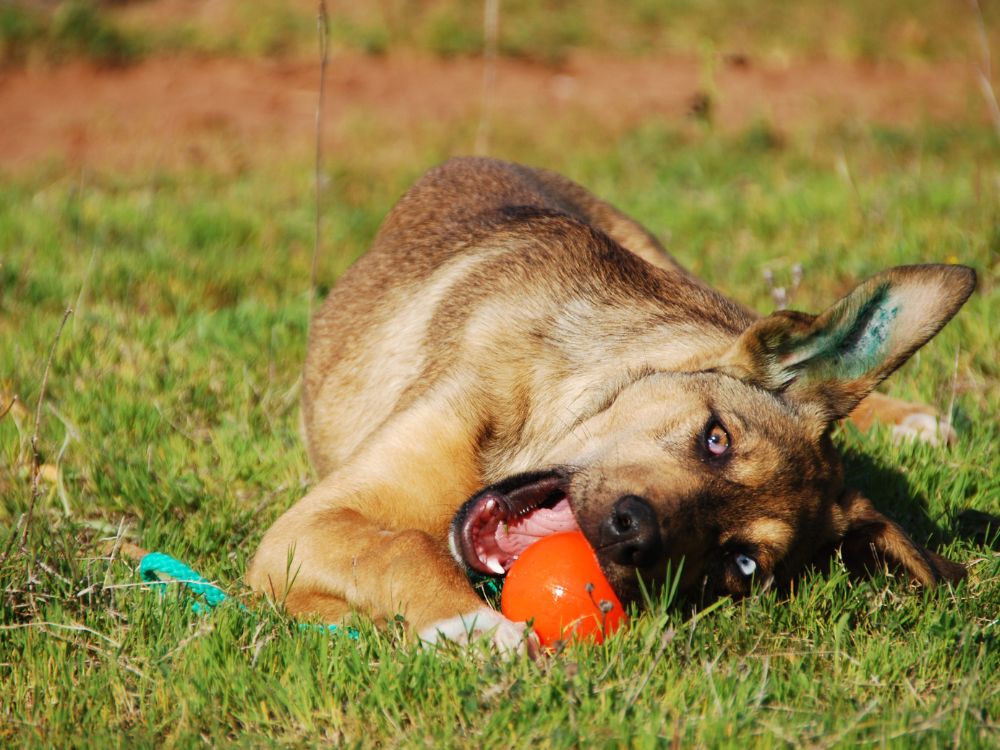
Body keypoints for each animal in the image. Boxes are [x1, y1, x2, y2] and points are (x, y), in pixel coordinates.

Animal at [246, 157, 972, 652]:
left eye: (740, 565)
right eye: (716, 438)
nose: (634, 534)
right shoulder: (306, 528)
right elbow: (399, 547)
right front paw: (478, 627)